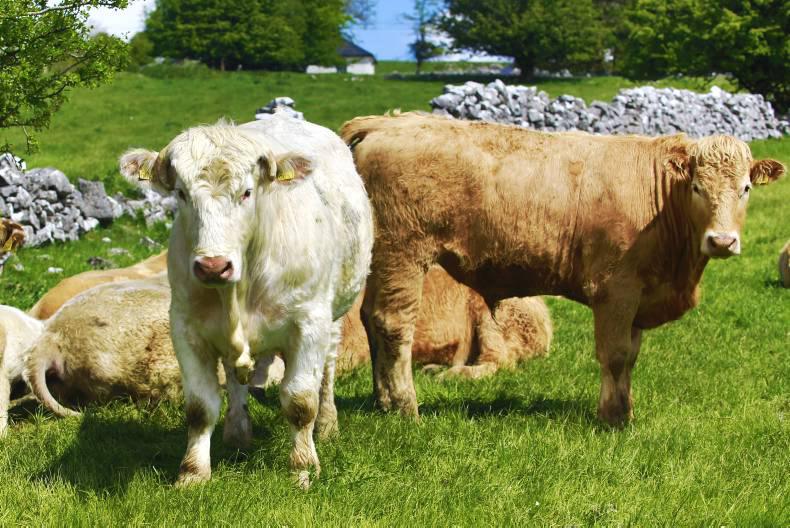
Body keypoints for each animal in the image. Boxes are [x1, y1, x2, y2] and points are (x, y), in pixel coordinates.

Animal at [120, 115, 374, 488]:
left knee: (326, 370)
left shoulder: (310, 323)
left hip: (335, 314)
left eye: (247, 192)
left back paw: (327, 425)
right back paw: (237, 432)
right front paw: (193, 472)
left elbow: (300, 401)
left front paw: (302, 467)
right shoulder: (185, 326)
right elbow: (200, 407)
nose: (213, 265)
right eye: (181, 194)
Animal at [340, 112, 785, 424]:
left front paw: (625, 409)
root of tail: (384, 122)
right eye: (697, 187)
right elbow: (615, 355)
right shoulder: (616, 291)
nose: (722, 241)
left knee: (370, 319)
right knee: (393, 324)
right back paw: (404, 406)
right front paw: (612, 418)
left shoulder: (639, 296)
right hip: (403, 255)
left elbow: (631, 356)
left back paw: (381, 401)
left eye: (745, 188)